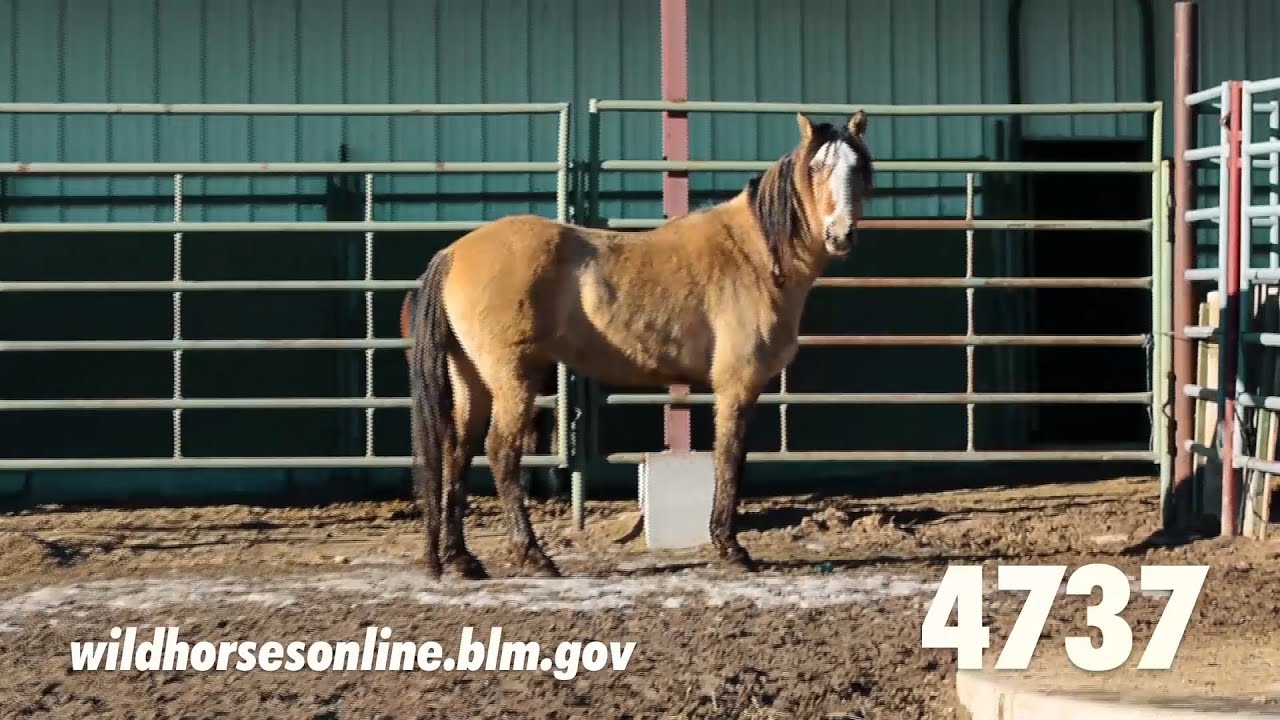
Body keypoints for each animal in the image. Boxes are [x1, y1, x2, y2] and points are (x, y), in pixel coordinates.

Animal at [401, 111, 874, 579]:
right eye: (816, 168)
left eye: (857, 167)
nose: (840, 235)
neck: (755, 254)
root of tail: (454, 253)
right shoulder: (737, 385)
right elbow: (730, 457)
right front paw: (730, 548)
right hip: (512, 379)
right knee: (501, 453)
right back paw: (534, 556)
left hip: (471, 380)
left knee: (457, 453)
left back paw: (461, 559)